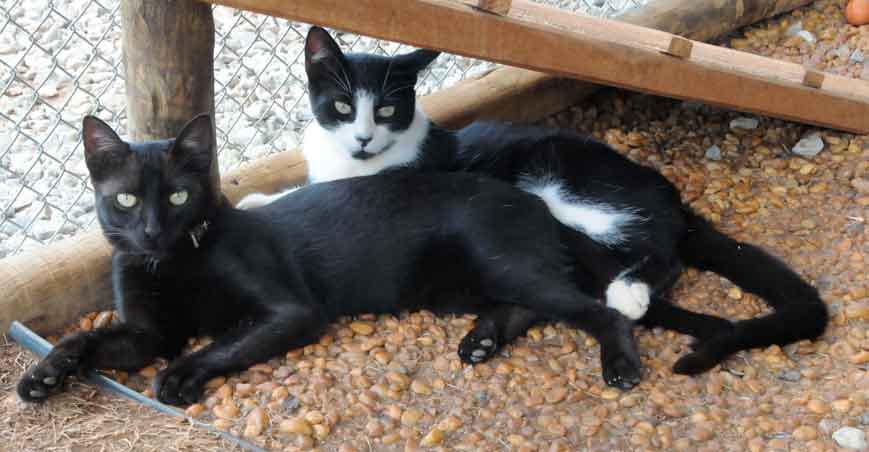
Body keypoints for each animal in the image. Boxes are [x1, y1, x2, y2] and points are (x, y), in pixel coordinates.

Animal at [15, 113, 644, 406]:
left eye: (177, 197)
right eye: (125, 199)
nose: (149, 231)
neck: (171, 263)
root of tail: (534, 201)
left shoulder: (291, 310)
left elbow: (226, 342)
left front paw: (181, 375)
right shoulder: (148, 333)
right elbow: (86, 338)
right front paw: (43, 375)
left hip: (498, 262)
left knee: (595, 309)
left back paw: (620, 366)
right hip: (458, 289)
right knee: (531, 305)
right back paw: (481, 341)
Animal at [237, 26, 828, 376]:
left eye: (385, 110)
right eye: (341, 105)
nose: (362, 139)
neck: (355, 161)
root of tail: (668, 196)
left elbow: (309, 198)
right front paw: (256, 197)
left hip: (562, 186)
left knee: (657, 253)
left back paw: (629, 293)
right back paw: (486, 338)